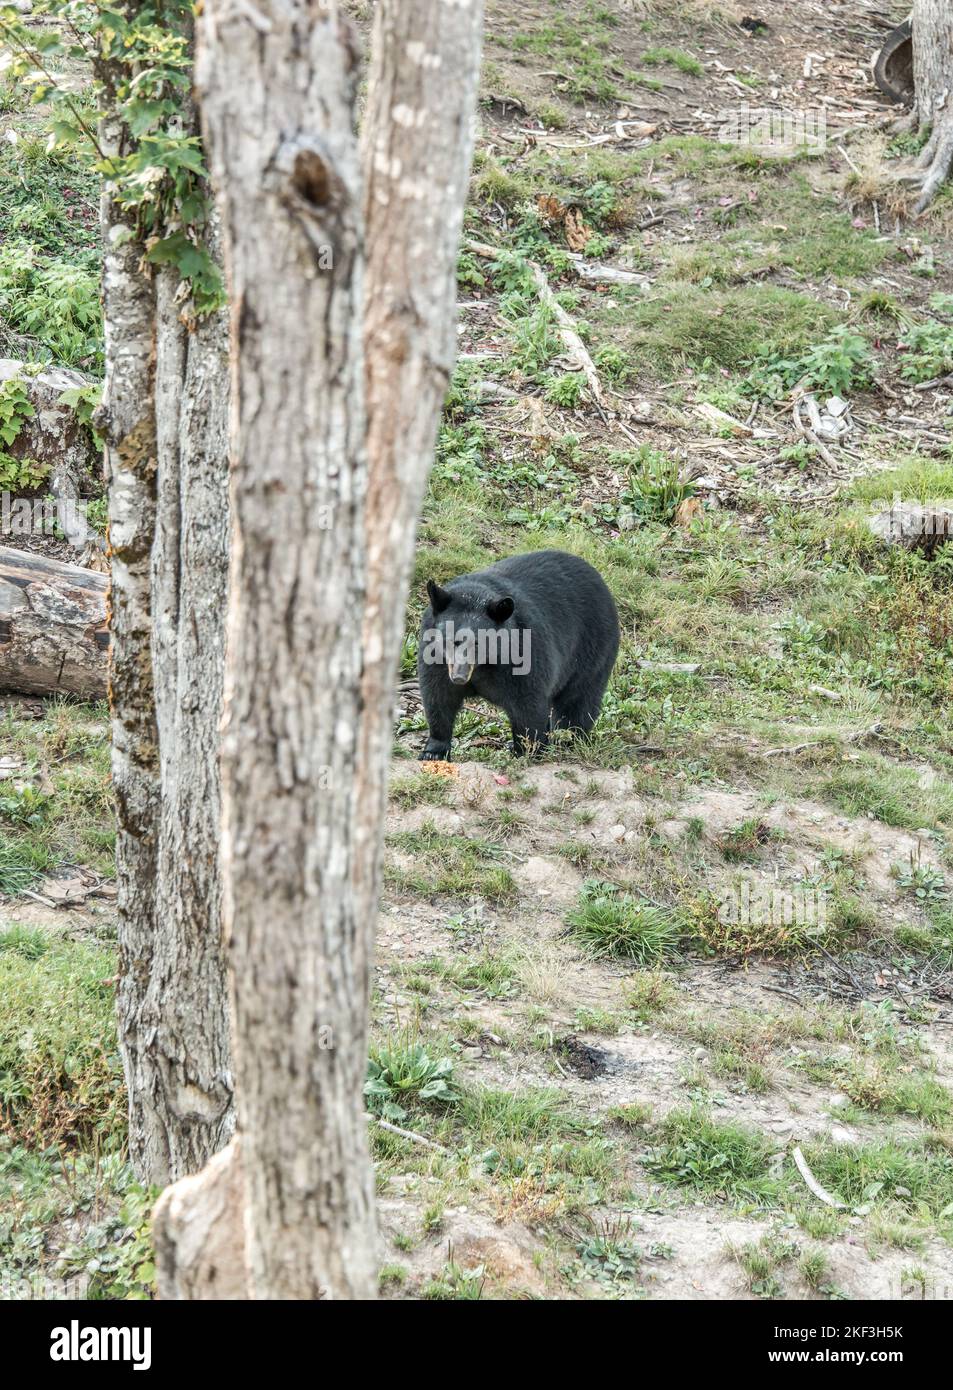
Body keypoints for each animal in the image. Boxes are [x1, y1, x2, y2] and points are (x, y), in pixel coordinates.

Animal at [417, 549, 620, 761]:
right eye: (450, 640)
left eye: (478, 642)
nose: (459, 676)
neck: (484, 665)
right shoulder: (435, 657)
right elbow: (439, 698)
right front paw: (434, 751)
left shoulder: (522, 654)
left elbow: (528, 704)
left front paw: (527, 750)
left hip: (592, 648)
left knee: (578, 700)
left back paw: (568, 739)